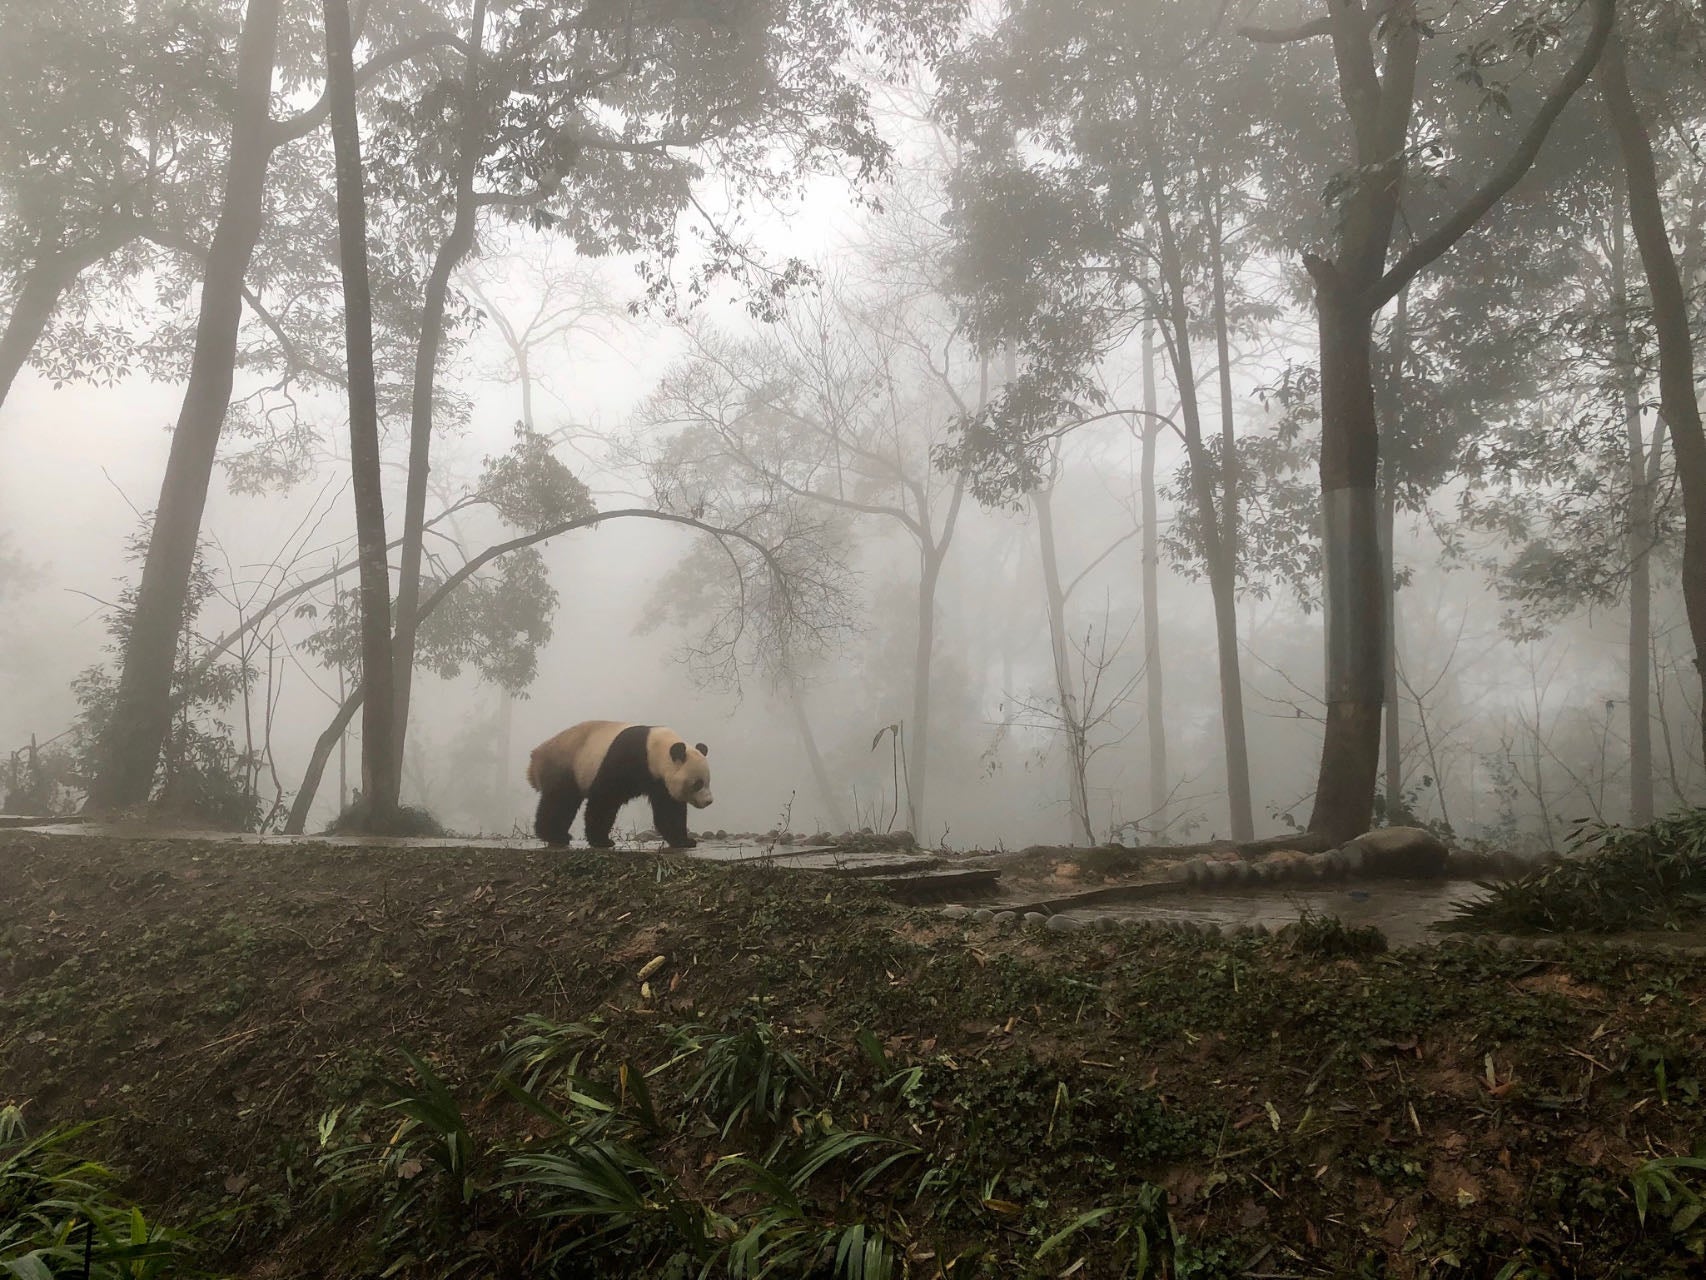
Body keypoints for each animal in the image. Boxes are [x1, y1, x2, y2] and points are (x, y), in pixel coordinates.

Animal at [518, 723, 706, 853]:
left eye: (707, 781)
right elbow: (604, 799)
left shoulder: (660, 781)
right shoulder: (626, 756)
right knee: (560, 802)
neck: (656, 748)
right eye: (698, 783)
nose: (708, 801)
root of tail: (537, 756)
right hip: (567, 764)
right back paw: (556, 835)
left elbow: (669, 810)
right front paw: (602, 841)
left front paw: (684, 841)